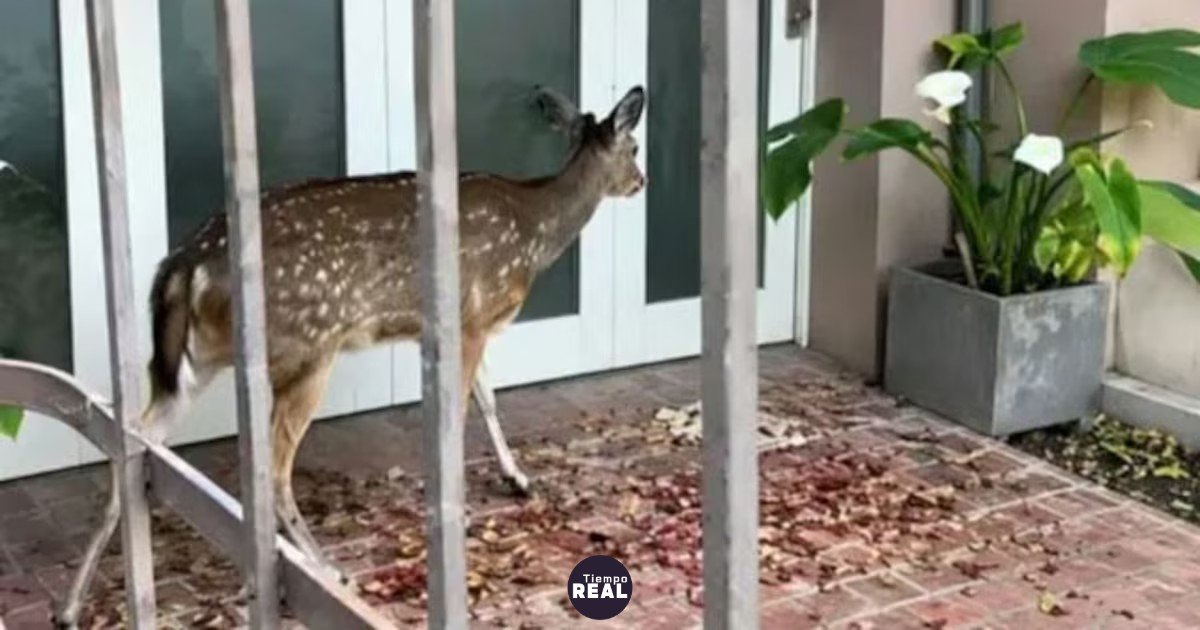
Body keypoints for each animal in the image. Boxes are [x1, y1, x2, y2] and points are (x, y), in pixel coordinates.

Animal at [55, 84, 645, 625]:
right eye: (635, 145)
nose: (641, 181)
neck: (534, 230)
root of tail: (183, 266)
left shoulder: (451, 327)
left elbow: (488, 397)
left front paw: (518, 479)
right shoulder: (474, 315)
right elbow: (468, 407)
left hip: (193, 363)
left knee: (130, 441)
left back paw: (70, 606)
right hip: (308, 347)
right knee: (273, 470)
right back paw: (328, 571)